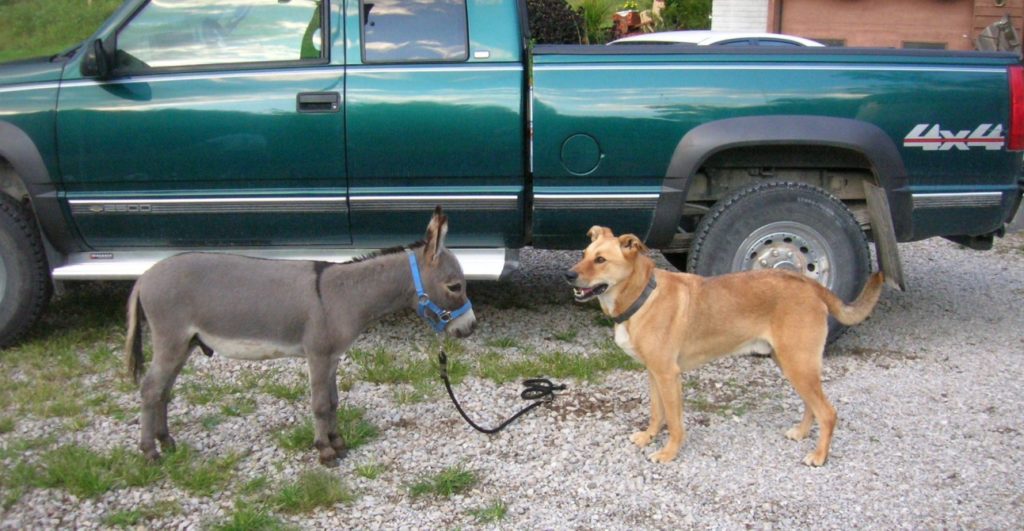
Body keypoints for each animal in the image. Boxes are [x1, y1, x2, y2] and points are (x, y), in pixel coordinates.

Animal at [565, 225, 884, 466]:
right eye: (584, 254)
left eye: (601, 260)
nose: (569, 275)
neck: (643, 295)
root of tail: (810, 285)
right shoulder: (654, 373)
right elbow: (657, 413)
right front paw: (647, 437)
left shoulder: (668, 375)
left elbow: (675, 422)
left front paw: (669, 453)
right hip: (792, 363)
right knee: (812, 405)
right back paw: (802, 433)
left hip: (798, 364)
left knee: (828, 413)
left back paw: (819, 456)